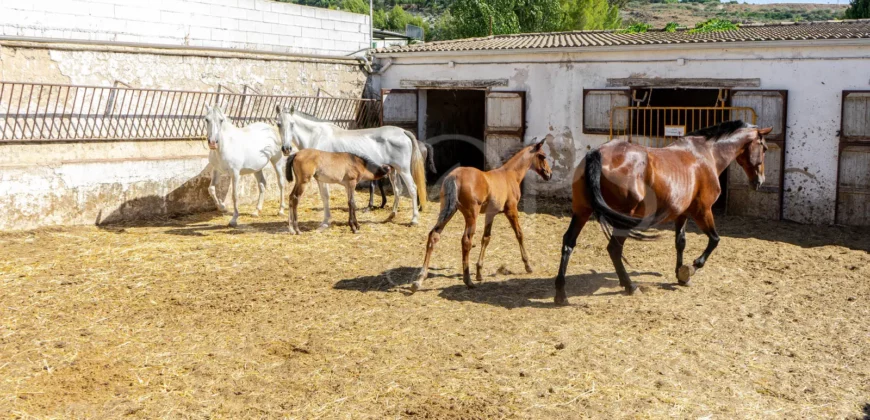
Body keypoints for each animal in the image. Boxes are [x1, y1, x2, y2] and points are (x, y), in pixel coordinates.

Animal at [276, 105, 430, 230]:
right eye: (278, 124)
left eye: (292, 124)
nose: (286, 148)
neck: (317, 136)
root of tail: (403, 132)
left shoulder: (323, 179)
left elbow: (325, 197)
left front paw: (325, 222)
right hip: (393, 171)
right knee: (398, 189)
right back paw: (391, 216)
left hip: (404, 170)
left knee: (412, 189)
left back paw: (414, 219)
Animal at [414, 139, 552, 294]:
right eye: (543, 156)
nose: (549, 174)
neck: (510, 175)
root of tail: (454, 176)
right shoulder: (511, 210)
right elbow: (519, 234)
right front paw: (528, 265)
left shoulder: (490, 214)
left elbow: (486, 238)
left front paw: (479, 272)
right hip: (471, 215)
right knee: (466, 241)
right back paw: (468, 280)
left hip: (448, 210)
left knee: (434, 235)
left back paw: (419, 279)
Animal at [556, 121, 772, 306]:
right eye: (764, 149)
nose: (760, 181)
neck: (706, 154)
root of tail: (597, 153)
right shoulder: (702, 211)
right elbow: (714, 240)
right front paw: (691, 268)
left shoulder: (682, 214)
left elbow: (680, 242)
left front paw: (681, 275)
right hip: (622, 219)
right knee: (614, 249)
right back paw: (630, 286)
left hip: (582, 212)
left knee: (568, 243)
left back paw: (561, 294)